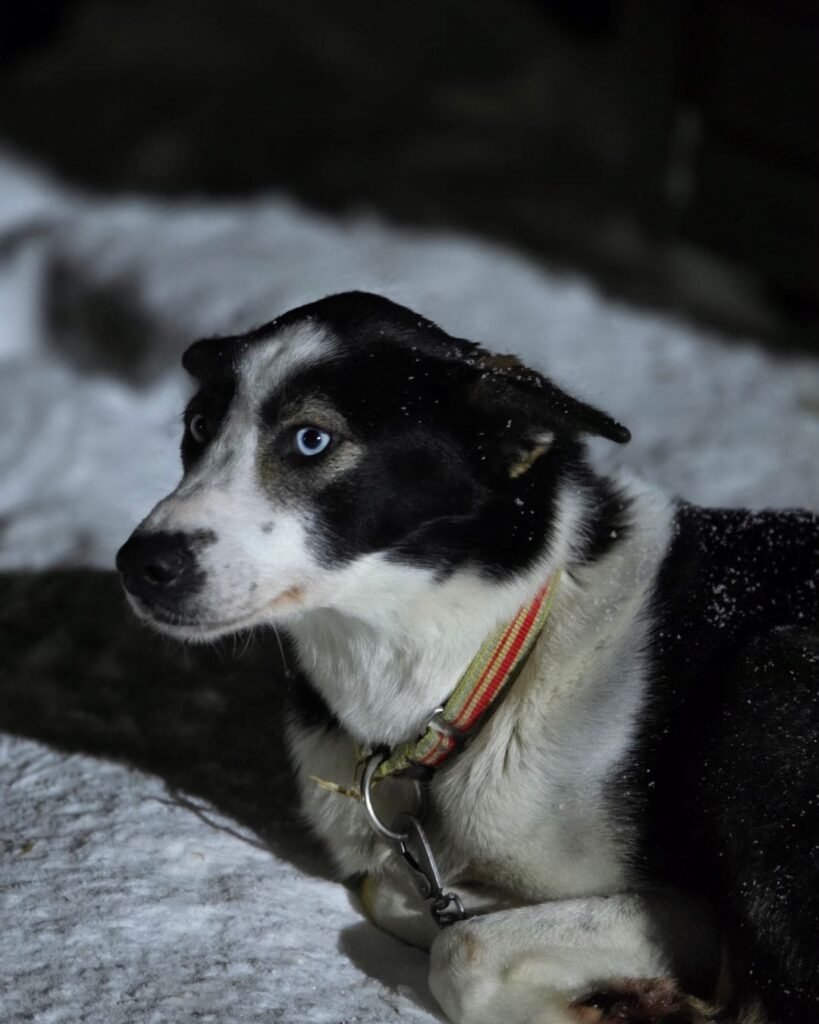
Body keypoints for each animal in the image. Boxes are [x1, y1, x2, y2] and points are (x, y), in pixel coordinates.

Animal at [116, 292, 818, 1019]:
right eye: (199, 426)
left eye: (311, 439)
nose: (142, 565)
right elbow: (396, 891)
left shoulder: (690, 903)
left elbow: (465, 949)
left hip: (772, 677)